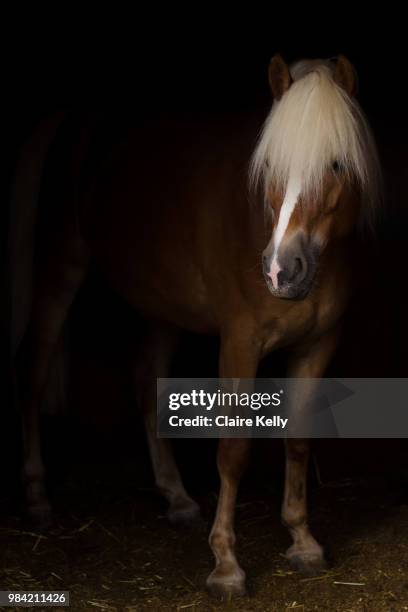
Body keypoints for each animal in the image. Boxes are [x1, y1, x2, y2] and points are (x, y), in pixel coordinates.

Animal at [7, 55, 380, 600]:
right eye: (269, 168)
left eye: (335, 164)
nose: (281, 271)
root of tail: (74, 118)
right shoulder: (240, 343)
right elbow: (233, 450)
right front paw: (226, 564)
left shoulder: (318, 345)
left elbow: (298, 440)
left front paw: (302, 541)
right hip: (62, 267)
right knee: (33, 370)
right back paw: (36, 497)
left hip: (162, 306)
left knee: (145, 380)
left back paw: (177, 498)